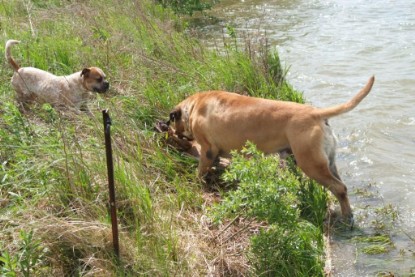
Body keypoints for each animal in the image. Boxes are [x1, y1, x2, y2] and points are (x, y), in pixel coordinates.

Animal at [169, 76, 376, 221]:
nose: (165, 127)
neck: (195, 106)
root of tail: (316, 114)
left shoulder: (207, 150)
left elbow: (200, 171)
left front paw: (196, 183)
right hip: (327, 163)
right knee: (341, 187)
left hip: (311, 164)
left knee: (339, 188)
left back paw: (347, 217)